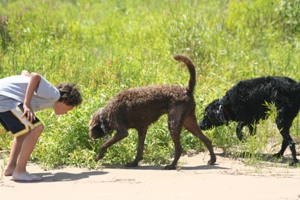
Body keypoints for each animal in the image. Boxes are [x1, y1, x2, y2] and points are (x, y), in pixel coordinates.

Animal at [88, 55, 216, 170]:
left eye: (91, 129)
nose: (90, 137)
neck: (105, 115)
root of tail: (186, 90)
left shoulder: (122, 132)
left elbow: (105, 144)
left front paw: (97, 158)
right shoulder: (142, 129)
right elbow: (139, 150)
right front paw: (134, 163)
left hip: (173, 124)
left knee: (179, 148)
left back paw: (171, 166)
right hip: (189, 122)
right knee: (207, 140)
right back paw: (212, 160)